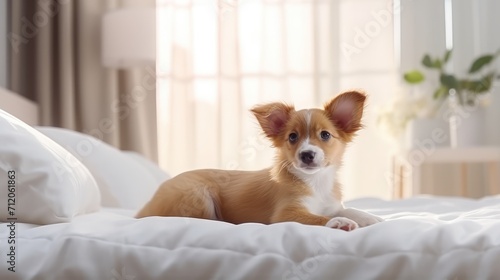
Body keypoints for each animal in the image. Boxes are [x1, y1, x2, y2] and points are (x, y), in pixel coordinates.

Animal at [137, 91, 382, 231]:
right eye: (292, 137)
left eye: (325, 135)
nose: (307, 155)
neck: (316, 182)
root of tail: (144, 208)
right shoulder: (286, 214)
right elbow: (318, 218)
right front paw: (338, 223)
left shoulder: (331, 204)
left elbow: (346, 209)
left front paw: (370, 217)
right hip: (198, 195)